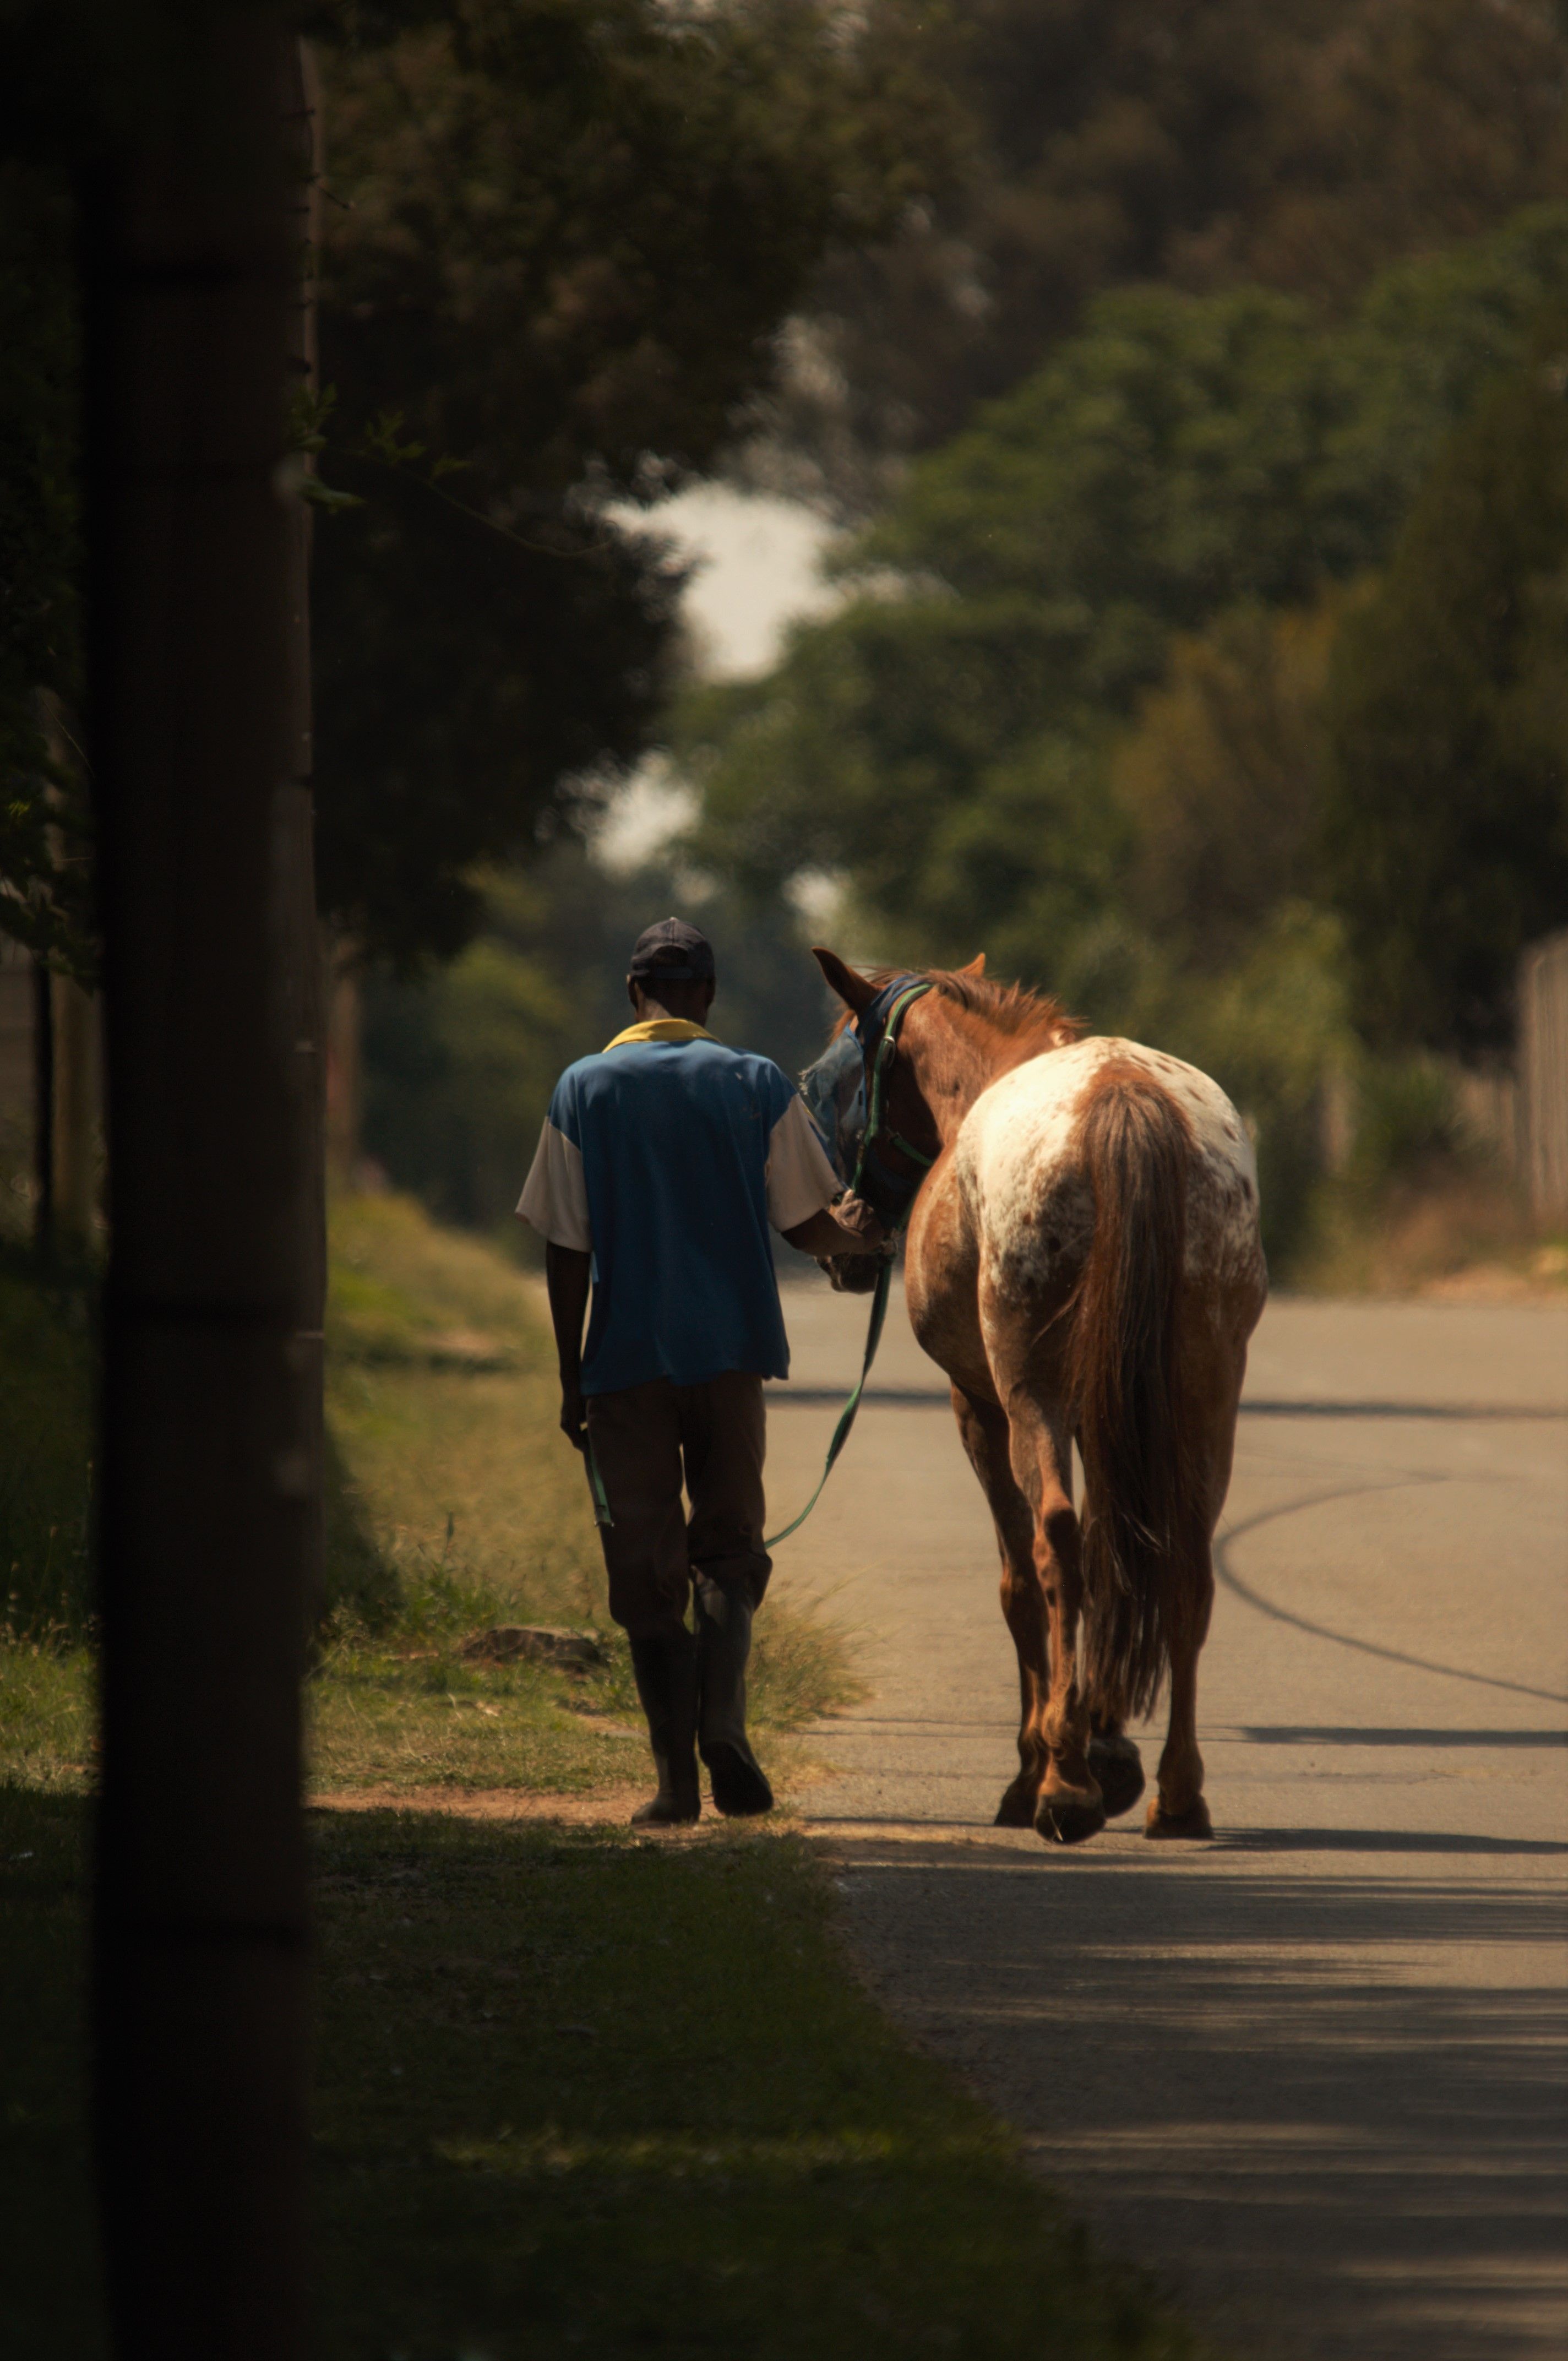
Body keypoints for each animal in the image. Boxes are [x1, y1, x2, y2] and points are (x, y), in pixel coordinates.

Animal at [803, 949, 1267, 1846]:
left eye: (836, 1075)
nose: (843, 1234)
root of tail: (1123, 1097)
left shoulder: (982, 1407)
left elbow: (1022, 1577)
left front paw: (1043, 1764)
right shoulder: (1104, 1412)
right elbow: (1109, 1547)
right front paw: (1106, 1740)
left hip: (1031, 1396)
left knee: (1053, 1545)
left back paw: (1063, 1788)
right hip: (1203, 1395)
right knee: (1184, 1560)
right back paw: (1176, 1794)